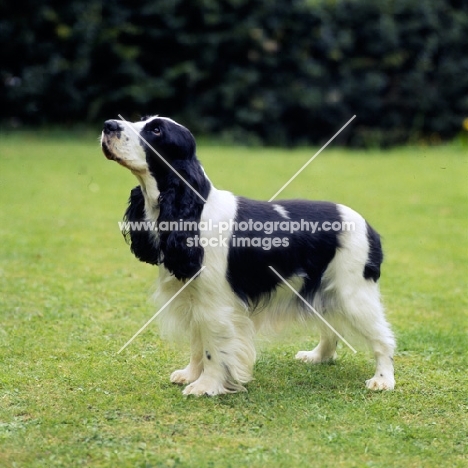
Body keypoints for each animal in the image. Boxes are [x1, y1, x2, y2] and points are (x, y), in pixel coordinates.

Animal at [101, 115, 394, 394]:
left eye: (156, 130)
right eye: (141, 121)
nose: (108, 125)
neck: (193, 210)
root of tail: (370, 227)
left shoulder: (216, 306)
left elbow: (212, 348)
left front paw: (206, 386)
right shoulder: (194, 299)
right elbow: (197, 343)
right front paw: (190, 374)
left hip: (353, 293)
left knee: (383, 338)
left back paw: (382, 380)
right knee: (331, 328)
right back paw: (317, 356)